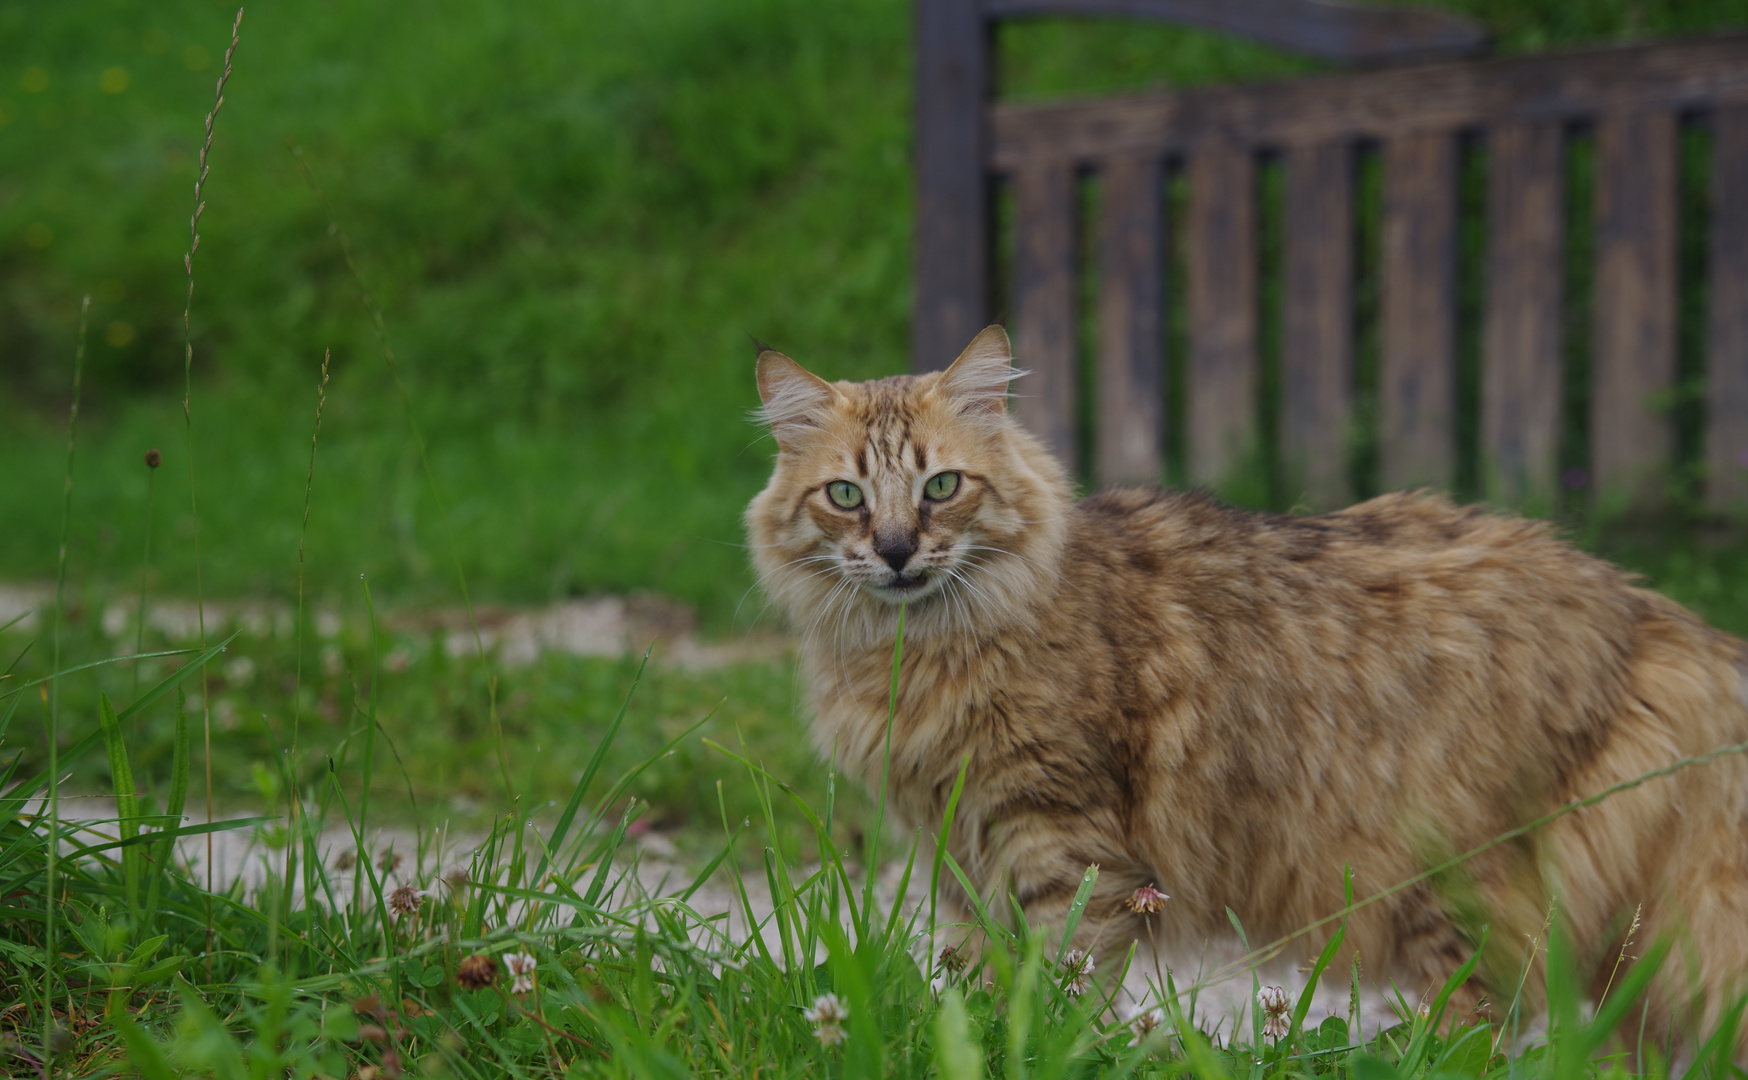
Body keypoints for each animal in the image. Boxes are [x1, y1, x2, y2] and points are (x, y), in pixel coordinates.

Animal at [744, 321, 1748, 1034]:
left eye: (943, 487)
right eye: (846, 497)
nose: (897, 550)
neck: (913, 658)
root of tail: (1631, 600)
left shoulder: (1061, 839)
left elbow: (1061, 987)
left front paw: (1040, 1044)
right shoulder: (954, 852)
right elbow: (974, 980)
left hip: (1447, 879)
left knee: (1482, 1022)